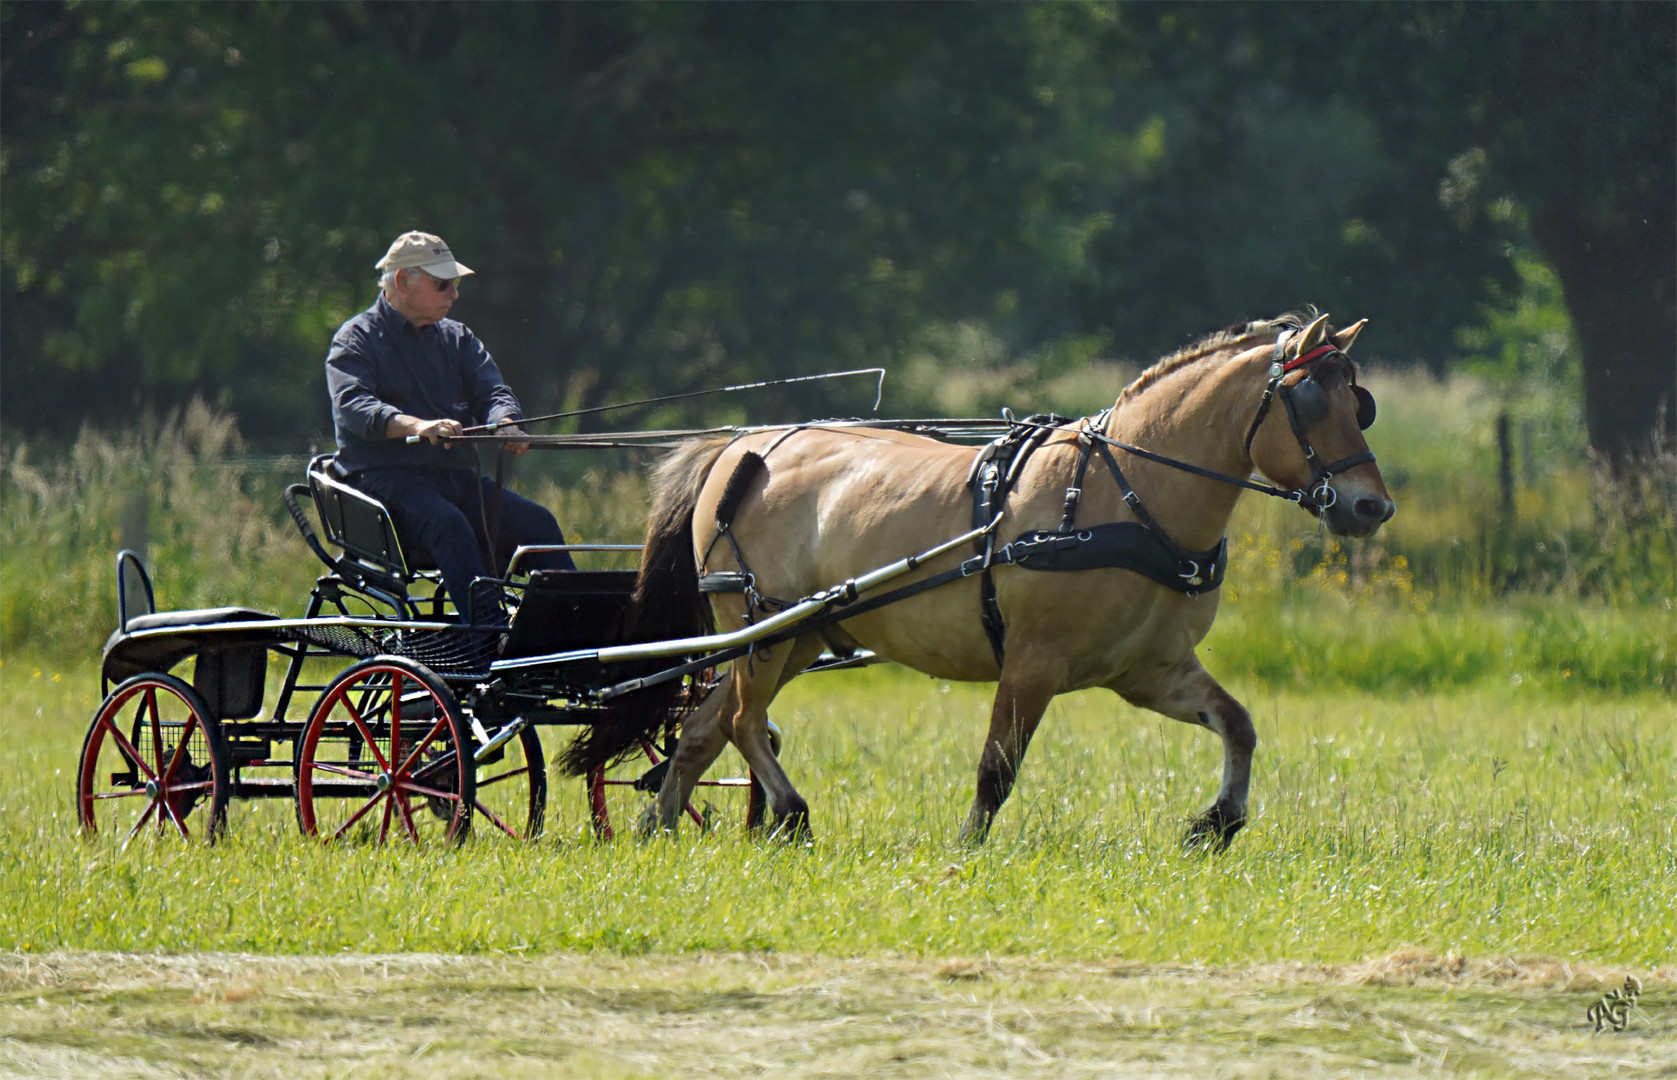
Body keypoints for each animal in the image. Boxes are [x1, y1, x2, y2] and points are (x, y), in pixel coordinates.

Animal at [560, 311, 1388, 851]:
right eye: (1309, 402)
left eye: (1360, 403)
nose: (1370, 506)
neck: (1128, 496)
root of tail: (742, 445)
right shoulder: (1032, 663)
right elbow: (996, 767)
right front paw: (968, 846)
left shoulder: (1148, 670)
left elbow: (1237, 723)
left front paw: (1216, 823)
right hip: (764, 627)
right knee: (740, 722)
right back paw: (789, 814)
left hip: (796, 635)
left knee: (707, 727)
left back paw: (660, 826)